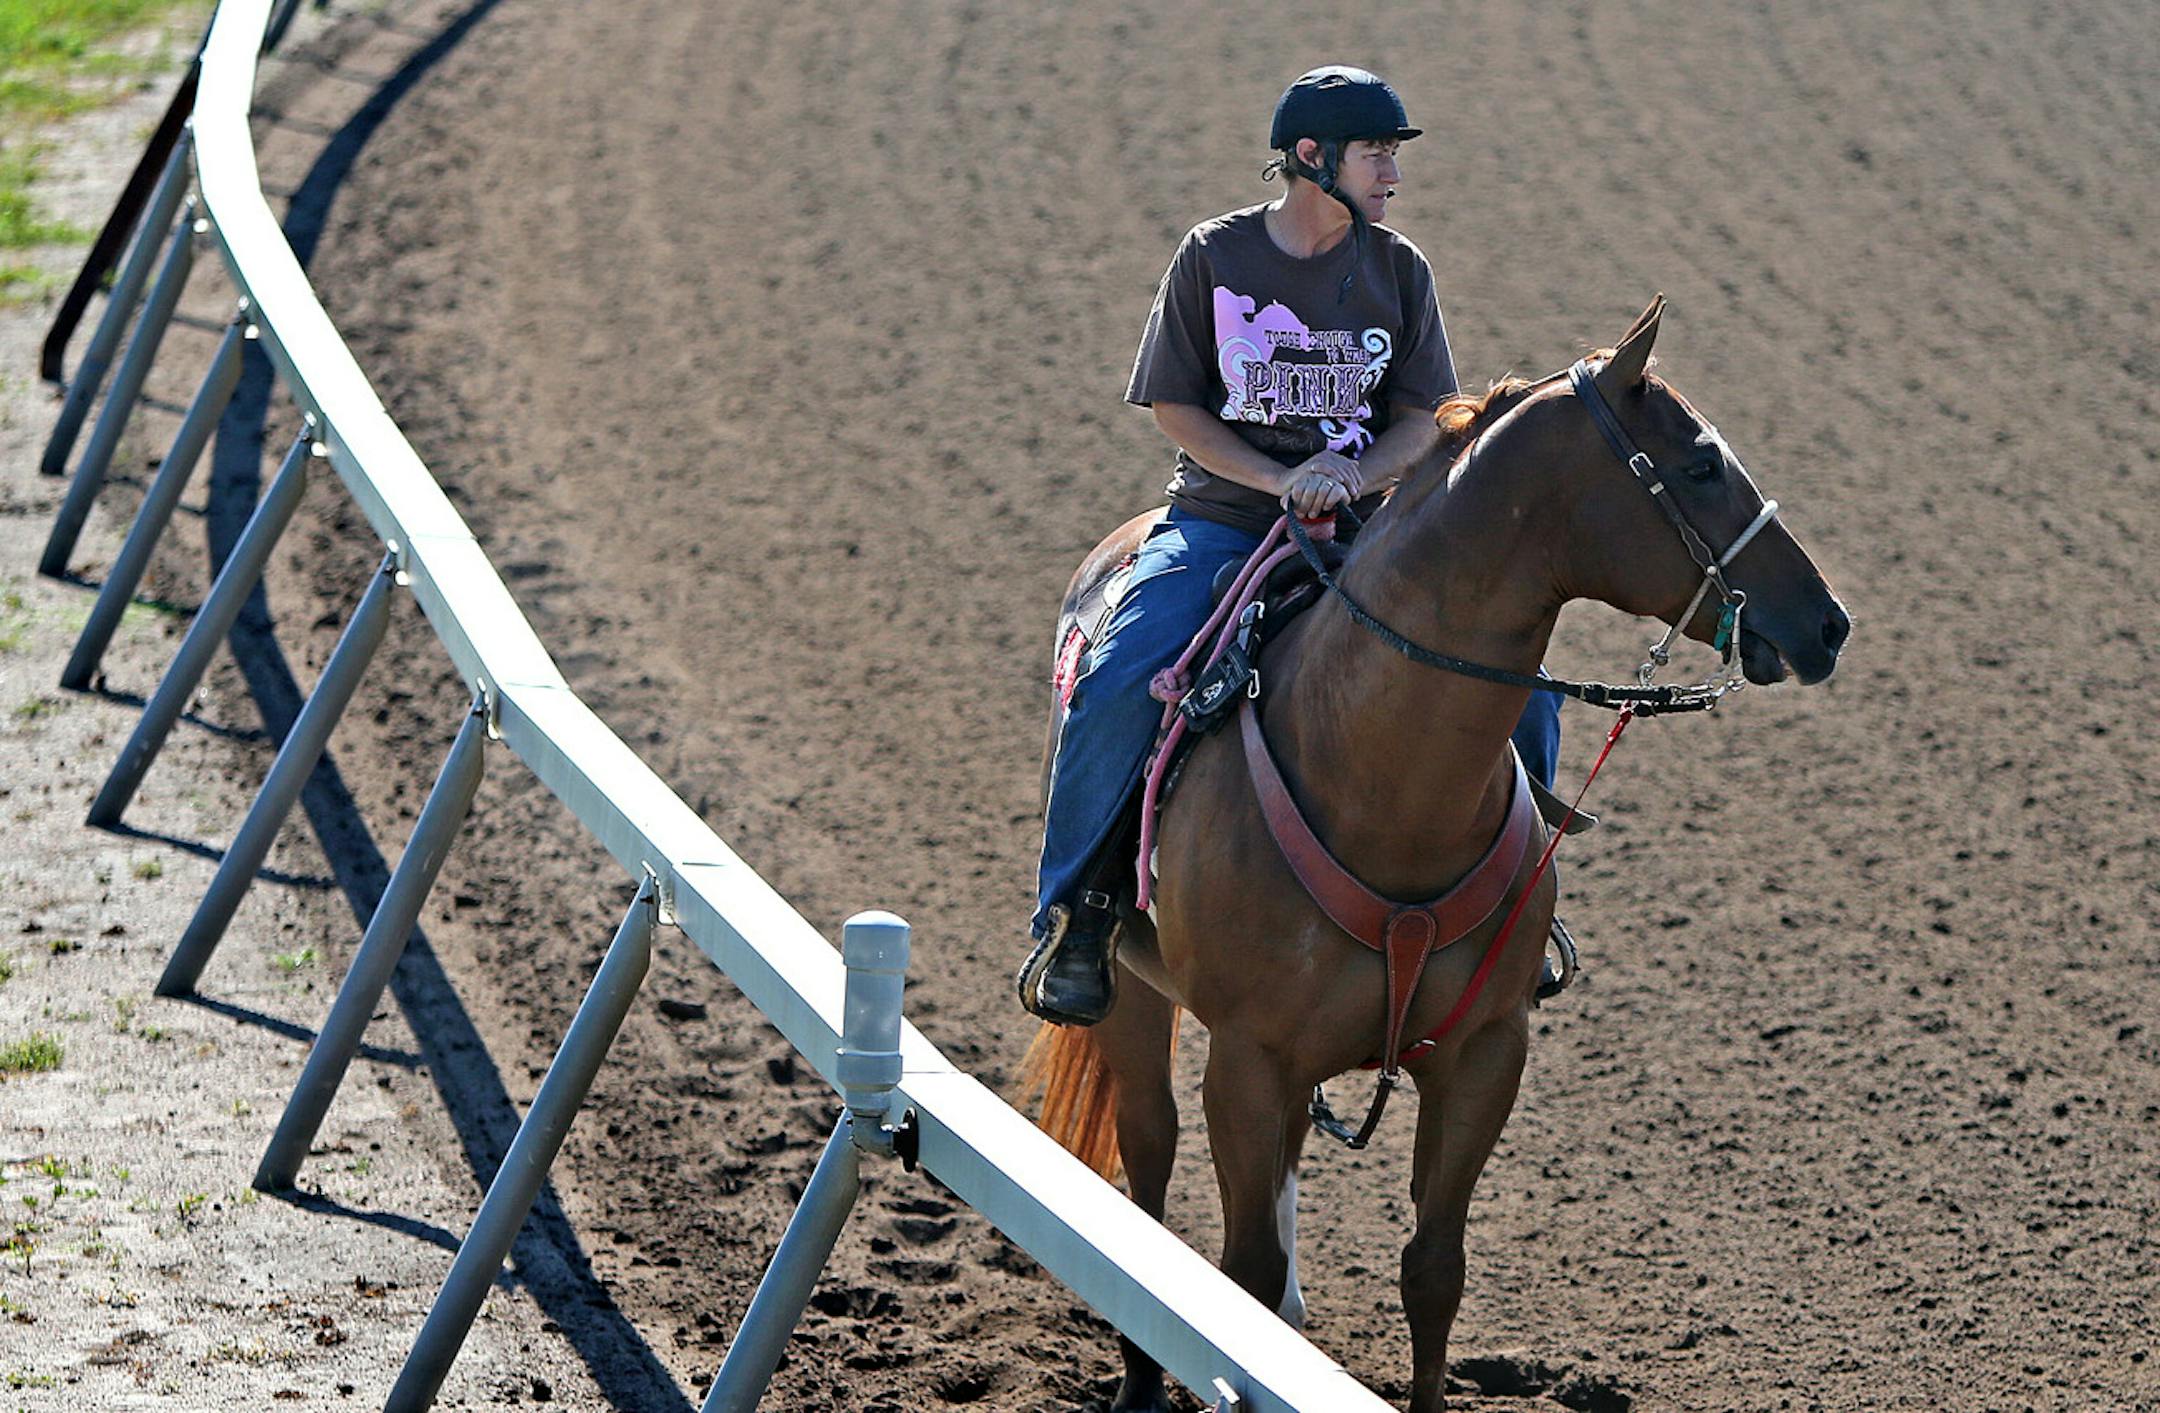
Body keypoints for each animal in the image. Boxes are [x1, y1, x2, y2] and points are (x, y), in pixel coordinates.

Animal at [1022, 298, 1850, 1412]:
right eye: (1704, 462)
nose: (1827, 622)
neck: (1381, 780)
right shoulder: (1247, 1058)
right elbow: (1238, 1272)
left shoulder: (1483, 1052)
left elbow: (1433, 1271)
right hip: (1131, 996)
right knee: (1146, 1162)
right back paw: (1142, 1382)